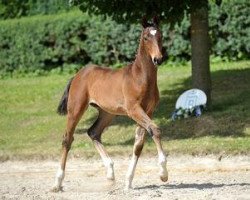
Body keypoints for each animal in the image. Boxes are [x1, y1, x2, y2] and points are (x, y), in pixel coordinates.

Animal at [52, 18, 168, 191]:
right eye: (146, 37)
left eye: (160, 36)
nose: (158, 59)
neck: (140, 78)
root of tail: (78, 74)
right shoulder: (134, 110)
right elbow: (155, 129)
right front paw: (163, 174)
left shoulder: (148, 111)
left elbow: (139, 144)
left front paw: (128, 181)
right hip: (75, 109)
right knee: (67, 139)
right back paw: (57, 182)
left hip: (107, 113)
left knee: (93, 132)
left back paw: (110, 173)